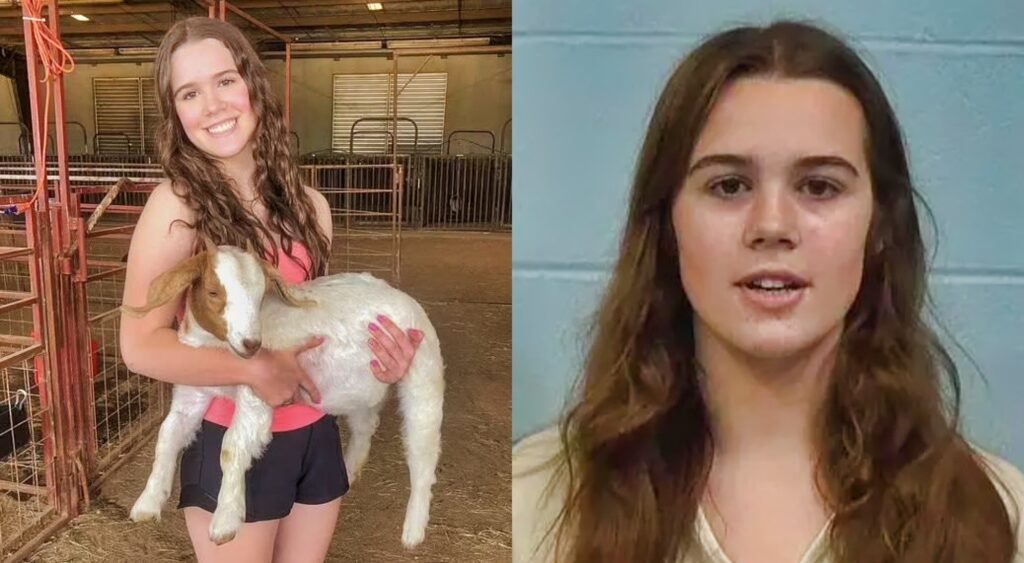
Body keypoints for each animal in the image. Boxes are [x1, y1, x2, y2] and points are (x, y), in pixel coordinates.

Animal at [121, 240, 442, 548]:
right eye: (213, 291)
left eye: (259, 295)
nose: (251, 343)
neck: (220, 351)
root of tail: (403, 298)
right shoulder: (191, 393)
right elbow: (167, 435)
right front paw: (147, 503)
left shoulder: (259, 393)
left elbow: (231, 447)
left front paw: (225, 521)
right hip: (361, 389)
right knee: (366, 425)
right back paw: (350, 470)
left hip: (424, 374)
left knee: (422, 453)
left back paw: (413, 530)